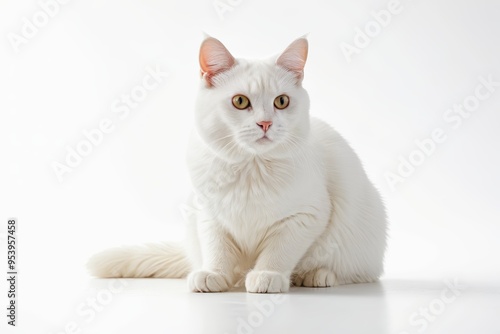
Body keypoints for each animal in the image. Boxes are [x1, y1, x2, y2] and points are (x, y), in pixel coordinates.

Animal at [89, 36, 386, 292]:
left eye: (281, 101)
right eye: (240, 101)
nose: (265, 123)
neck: (251, 169)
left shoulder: (305, 216)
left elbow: (278, 251)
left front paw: (267, 275)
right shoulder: (209, 214)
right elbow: (217, 250)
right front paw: (214, 275)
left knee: (351, 272)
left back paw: (317, 275)